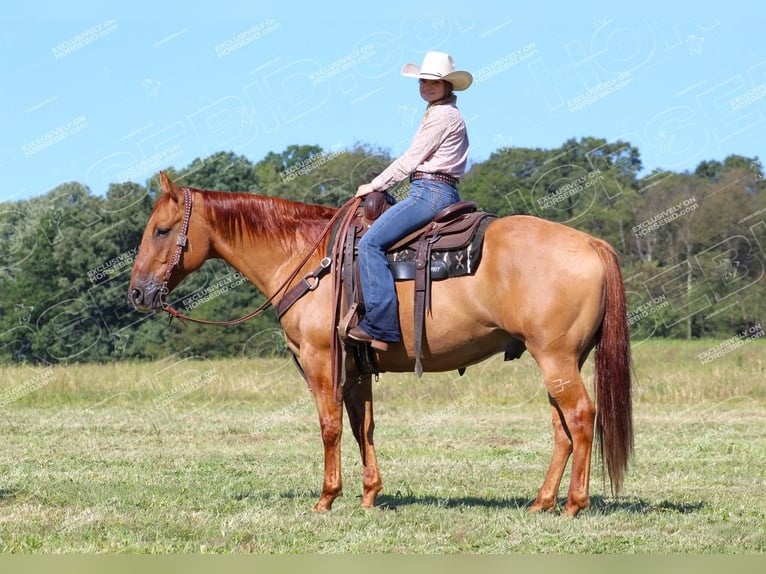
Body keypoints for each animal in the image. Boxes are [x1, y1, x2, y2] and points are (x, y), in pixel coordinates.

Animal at [129, 171, 632, 516]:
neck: (310, 259)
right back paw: (542, 501)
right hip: (561, 360)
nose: (137, 294)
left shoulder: (322, 361)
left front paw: (327, 498)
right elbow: (362, 427)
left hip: (556, 358)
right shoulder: (356, 369)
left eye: (161, 230)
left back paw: (574, 504)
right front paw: (370, 495)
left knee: (580, 418)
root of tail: (592, 243)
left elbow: (330, 427)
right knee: (562, 427)